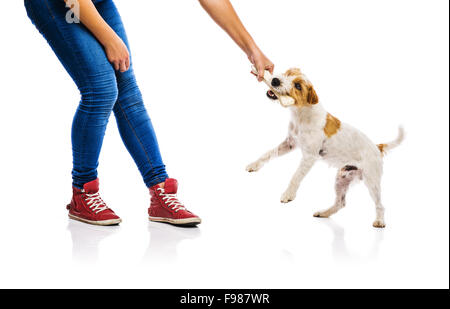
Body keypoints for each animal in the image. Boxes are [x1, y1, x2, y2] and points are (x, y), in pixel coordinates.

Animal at [248, 67, 406, 226]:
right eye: (288, 73)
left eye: (298, 86)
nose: (275, 80)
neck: (301, 113)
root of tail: (377, 147)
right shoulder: (289, 143)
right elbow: (268, 153)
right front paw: (254, 165)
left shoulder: (309, 157)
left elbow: (296, 176)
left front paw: (288, 194)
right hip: (342, 178)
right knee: (340, 203)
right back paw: (324, 213)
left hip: (372, 181)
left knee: (380, 205)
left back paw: (379, 221)